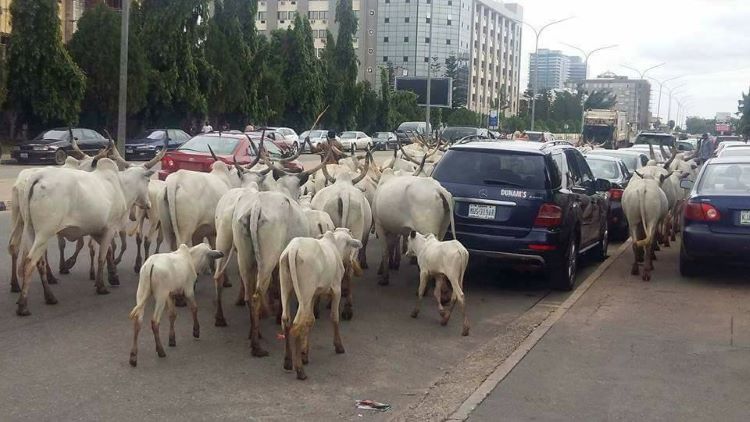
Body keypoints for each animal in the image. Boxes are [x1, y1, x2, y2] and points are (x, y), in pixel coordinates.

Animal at [16, 159, 153, 316]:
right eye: (148, 180)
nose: (148, 204)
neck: (121, 186)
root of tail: (38, 175)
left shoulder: (96, 230)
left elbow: (109, 252)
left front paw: (113, 276)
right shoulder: (110, 228)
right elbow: (102, 257)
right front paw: (101, 286)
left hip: (31, 231)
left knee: (40, 263)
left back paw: (49, 296)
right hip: (44, 233)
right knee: (29, 263)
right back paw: (23, 305)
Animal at [280, 229, 366, 380]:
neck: (335, 245)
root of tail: (293, 248)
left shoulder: (314, 295)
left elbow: (310, 320)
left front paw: (305, 353)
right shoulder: (336, 289)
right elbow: (334, 317)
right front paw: (338, 346)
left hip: (286, 286)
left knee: (286, 320)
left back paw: (288, 361)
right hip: (305, 292)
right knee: (296, 326)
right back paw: (300, 370)